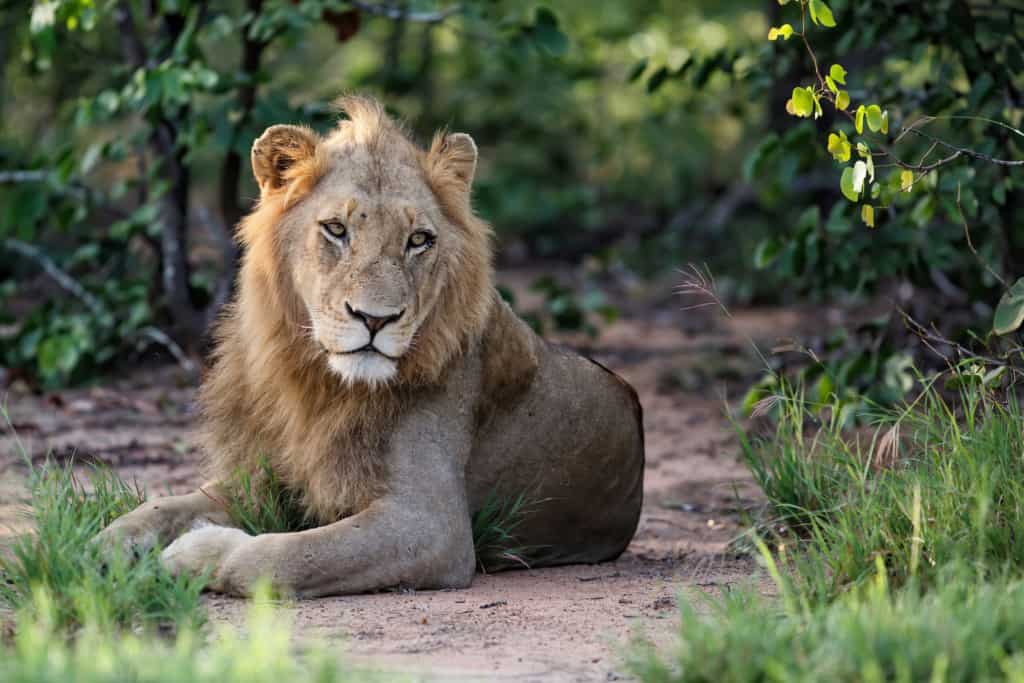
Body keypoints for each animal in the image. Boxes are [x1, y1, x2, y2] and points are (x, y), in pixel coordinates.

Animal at [96, 96, 638, 598]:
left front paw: (192, 552)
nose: (376, 319)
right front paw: (101, 546)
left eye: (418, 240)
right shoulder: (260, 476)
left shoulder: (432, 526)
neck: (313, 382)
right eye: (336, 229)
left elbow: (280, 556)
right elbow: (158, 505)